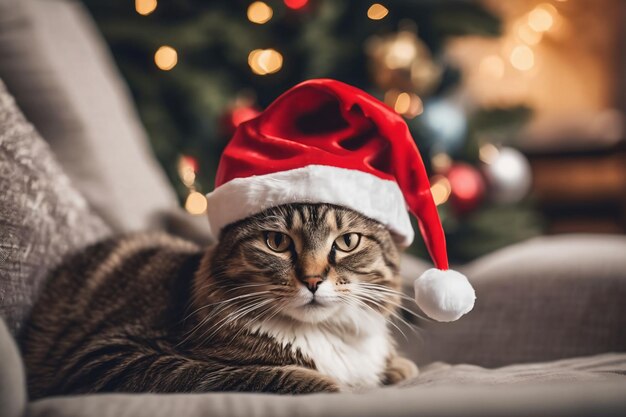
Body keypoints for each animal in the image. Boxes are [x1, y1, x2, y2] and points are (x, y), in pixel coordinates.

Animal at [20, 203, 414, 398]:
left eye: (347, 242)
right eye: (276, 242)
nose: (313, 280)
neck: (326, 334)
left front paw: (396, 367)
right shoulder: (106, 355)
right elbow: (220, 373)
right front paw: (335, 385)